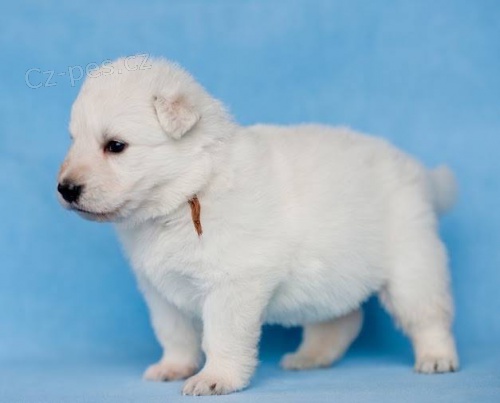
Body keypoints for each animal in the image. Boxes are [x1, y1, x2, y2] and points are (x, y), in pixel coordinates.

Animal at [58, 56, 459, 395]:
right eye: (73, 140)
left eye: (116, 145)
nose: (65, 189)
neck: (189, 192)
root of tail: (420, 172)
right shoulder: (161, 291)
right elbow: (174, 334)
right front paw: (173, 367)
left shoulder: (232, 282)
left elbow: (220, 335)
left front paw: (215, 379)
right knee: (342, 320)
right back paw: (310, 357)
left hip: (412, 264)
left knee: (428, 315)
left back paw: (436, 358)